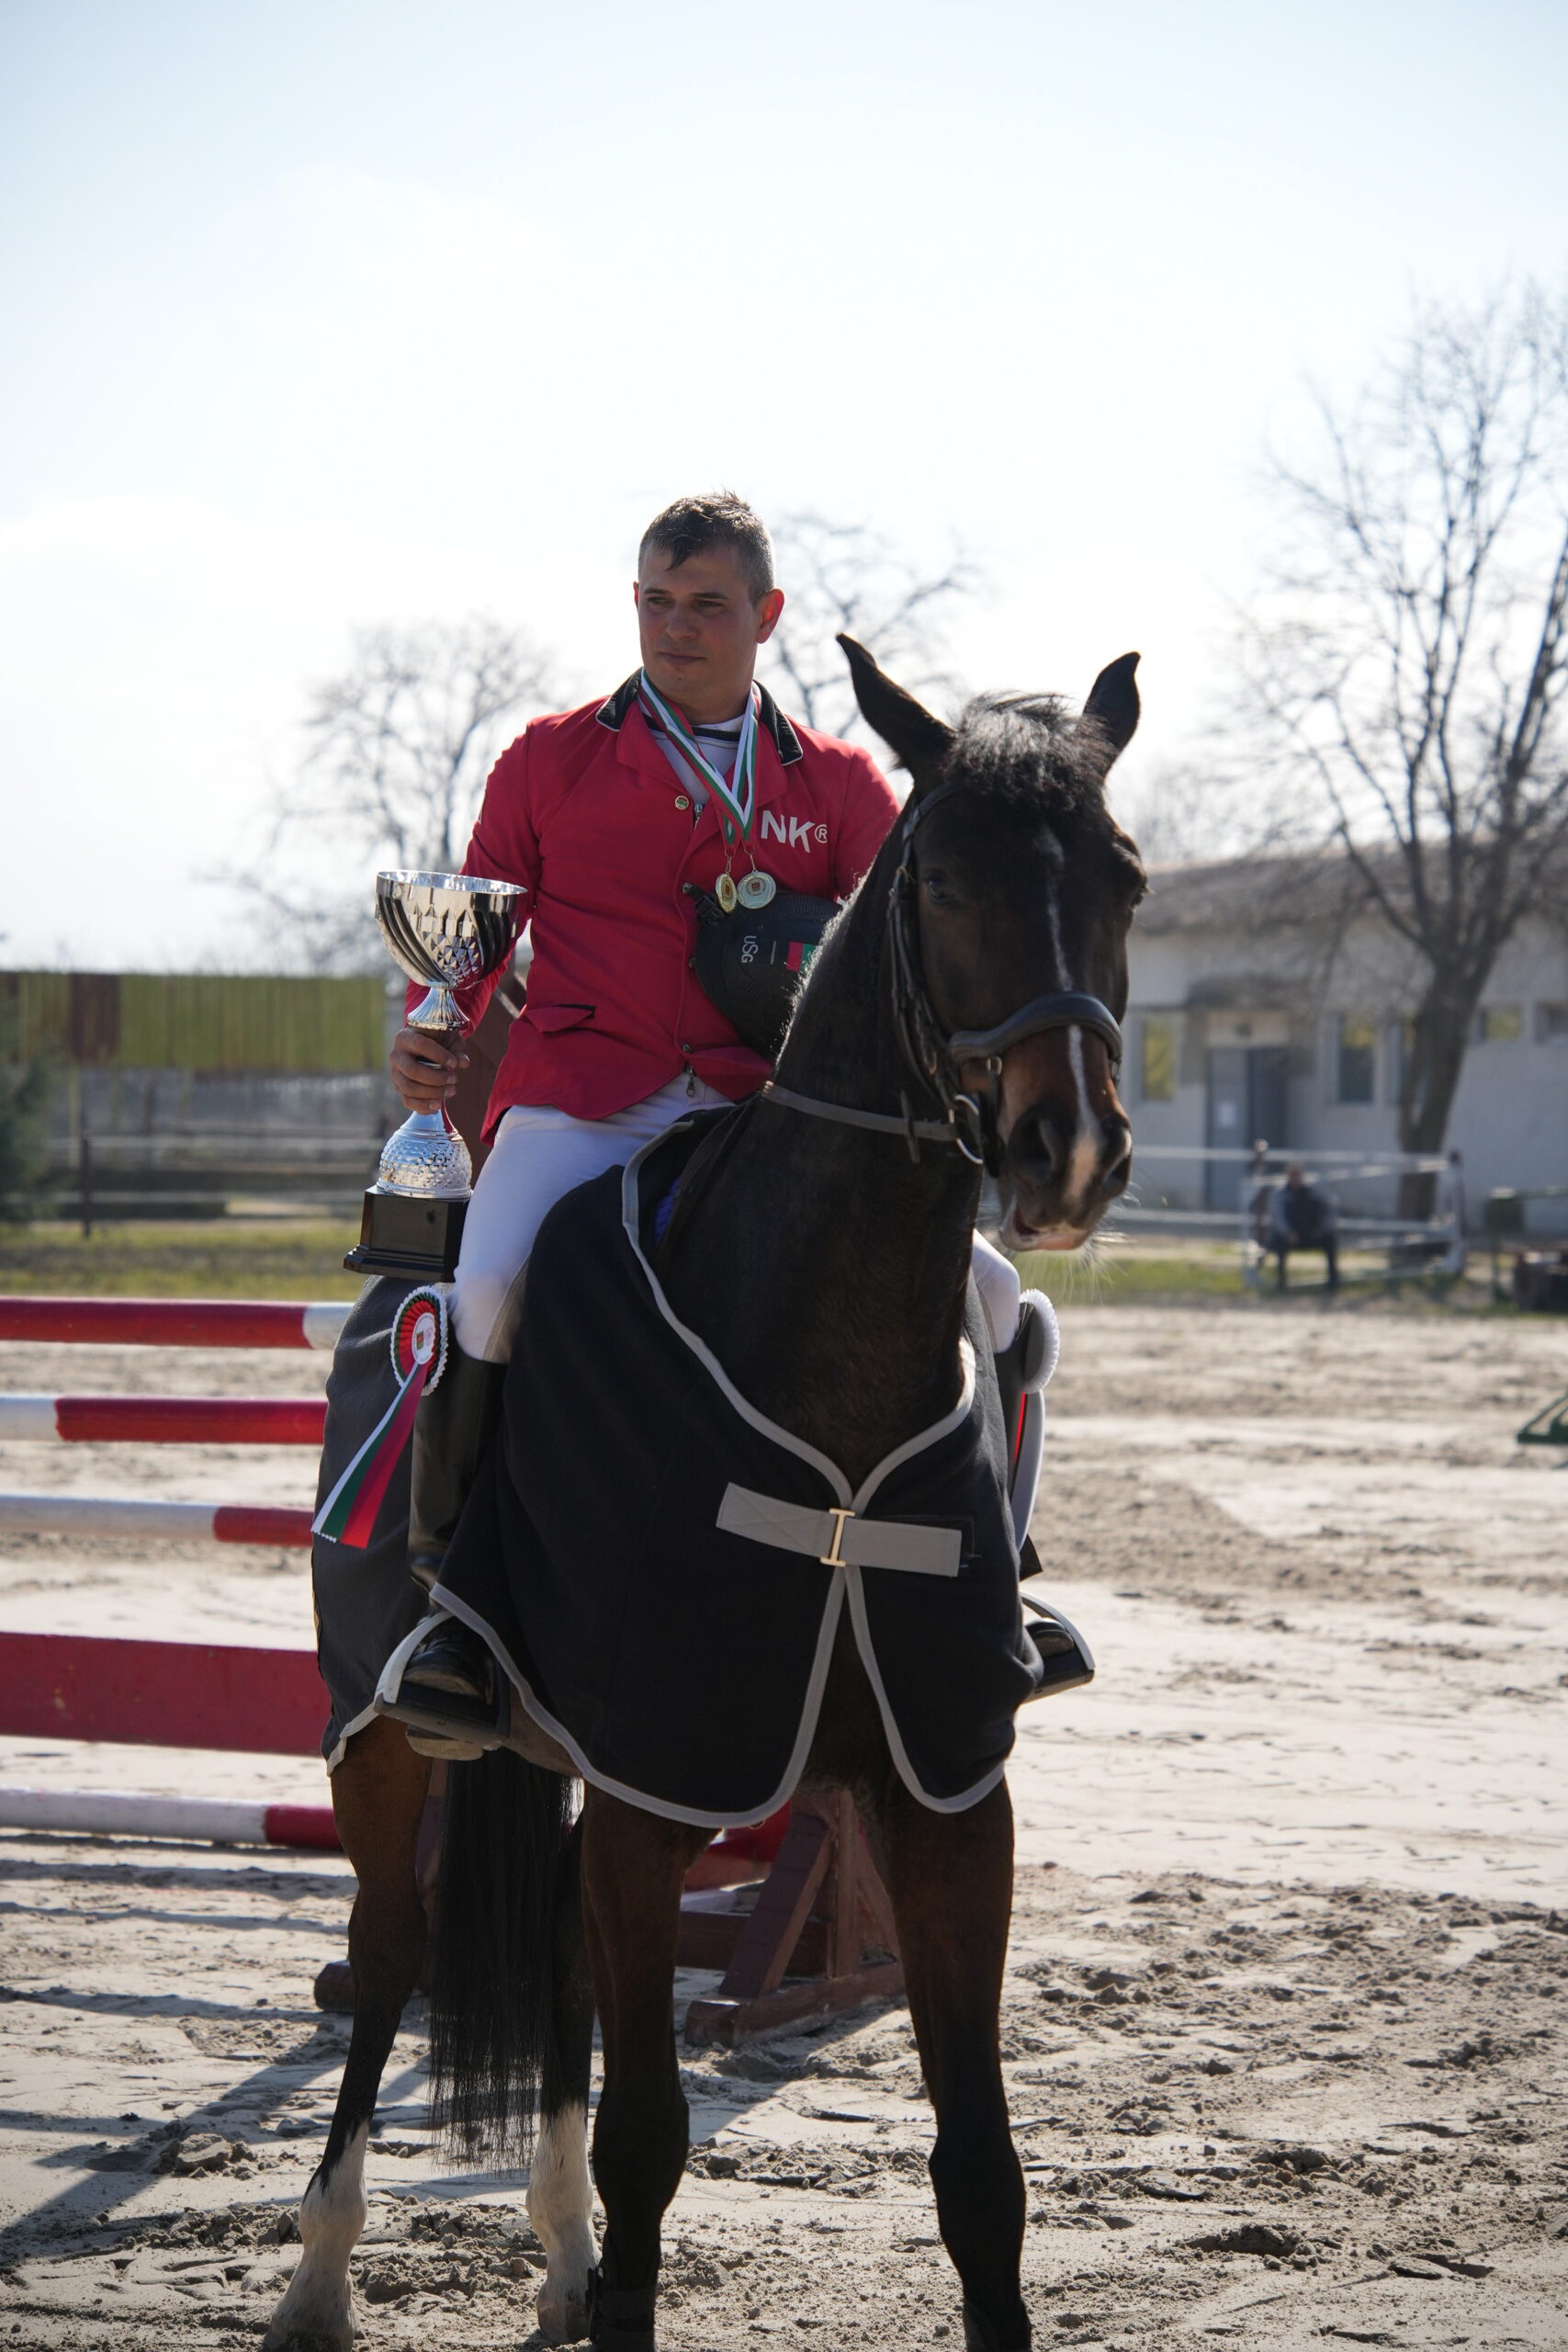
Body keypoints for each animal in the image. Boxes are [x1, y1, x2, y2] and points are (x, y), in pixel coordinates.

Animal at [263, 634, 1144, 2352]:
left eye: (1126, 884)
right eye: (944, 879)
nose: (1065, 1151)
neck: (822, 1345)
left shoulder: (943, 1795)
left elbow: (981, 2169)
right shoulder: (660, 1786)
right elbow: (650, 2142)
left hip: (566, 1757)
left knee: (543, 1959)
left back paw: (550, 2252)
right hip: (382, 1736)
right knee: (389, 1953)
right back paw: (324, 2273)